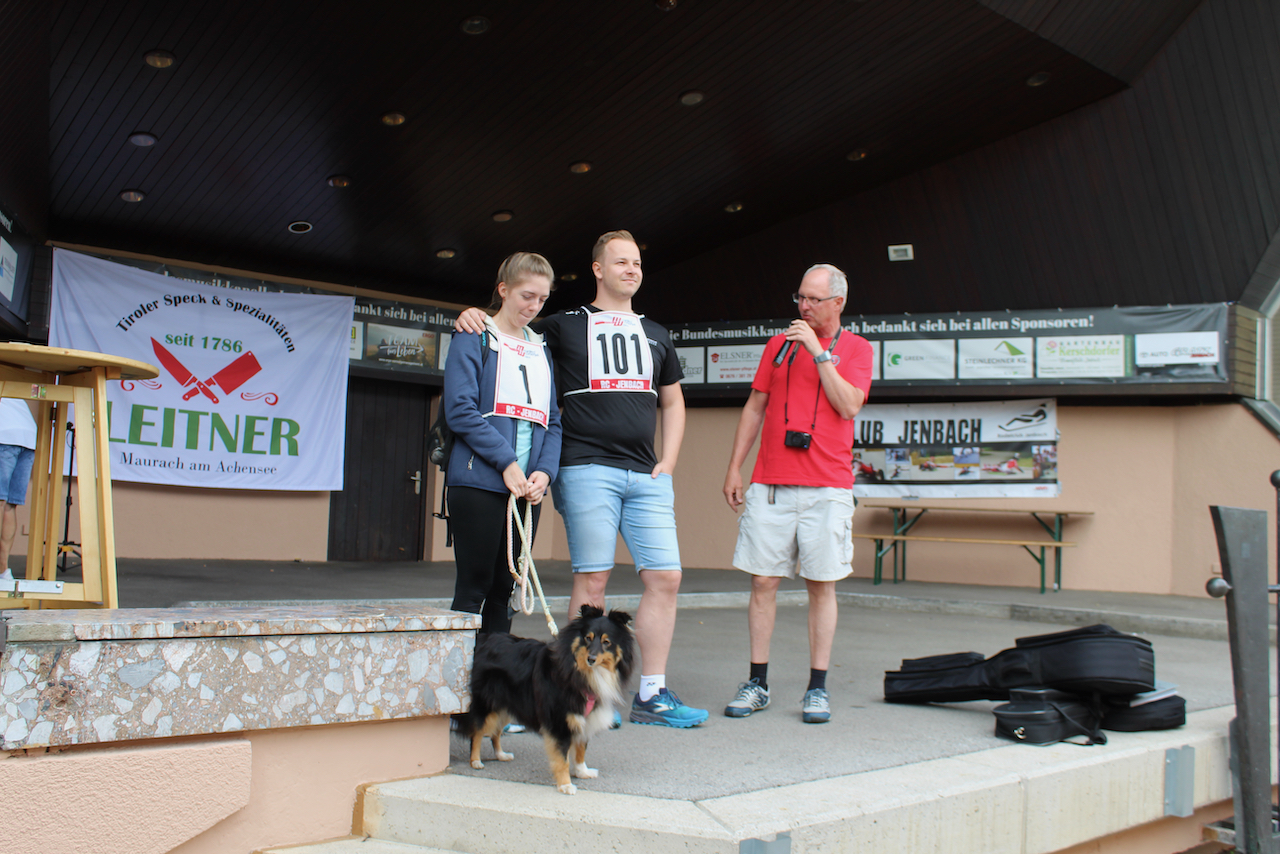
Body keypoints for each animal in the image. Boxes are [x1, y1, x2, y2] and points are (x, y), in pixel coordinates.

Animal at [455, 605, 635, 795]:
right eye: (588, 638)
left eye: (606, 642)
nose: (591, 659)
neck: (580, 672)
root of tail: (479, 640)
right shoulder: (560, 723)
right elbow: (563, 759)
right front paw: (565, 785)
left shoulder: (584, 719)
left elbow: (581, 750)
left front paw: (582, 772)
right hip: (486, 705)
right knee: (477, 732)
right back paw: (475, 761)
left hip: (505, 706)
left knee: (495, 732)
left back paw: (501, 755)